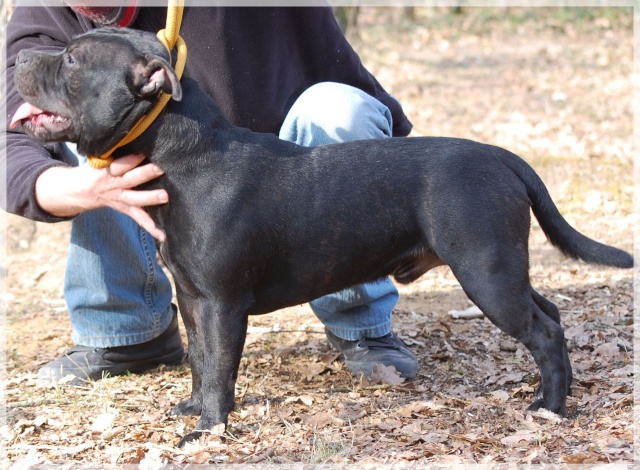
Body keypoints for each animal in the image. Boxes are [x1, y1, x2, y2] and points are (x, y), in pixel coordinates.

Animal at [10, 27, 632, 446]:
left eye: (71, 60)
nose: (17, 55)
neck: (186, 154)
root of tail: (503, 157)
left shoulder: (221, 304)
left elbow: (220, 368)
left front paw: (210, 430)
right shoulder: (192, 298)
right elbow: (199, 362)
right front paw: (193, 409)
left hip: (486, 272)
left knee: (544, 332)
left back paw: (551, 409)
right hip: (503, 269)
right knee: (551, 313)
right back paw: (553, 395)